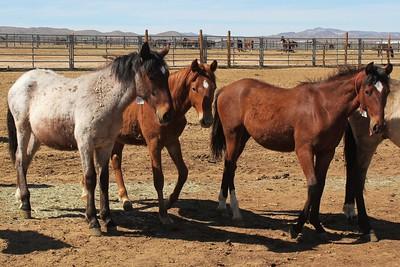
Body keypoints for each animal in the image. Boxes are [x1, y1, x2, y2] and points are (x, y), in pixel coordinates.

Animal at [7, 42, 173, 237]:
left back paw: (21, 199)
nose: (167, 114)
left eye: (167, 75)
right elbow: (90, 178)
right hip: (23, 129)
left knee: (24, 161)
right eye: (151, 75)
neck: (102, 97)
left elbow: (104, 180)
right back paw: (26, 205)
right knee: (19, 160)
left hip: (36, 137)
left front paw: (108, 220)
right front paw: (93, 220)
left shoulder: (106, 145)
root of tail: (20, 81)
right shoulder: (85, 144)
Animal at [81, 58, 217, 224]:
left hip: (117, 139)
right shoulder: (154, 144)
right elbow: (159, 179)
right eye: (194, 88)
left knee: (115, 161)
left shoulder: (172, 142)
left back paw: (124, 198)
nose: (207, 120)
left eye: (214, 87)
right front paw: (163, 214)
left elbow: (183, 172)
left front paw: (169, 201)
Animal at [211, 62, 392, 241]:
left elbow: (320, 186)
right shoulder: (304, 150)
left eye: (387, 92)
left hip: (243, 137)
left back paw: (224, 206)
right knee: (230, 164)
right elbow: (313, 184)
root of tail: (225, 89)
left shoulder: (326, 152)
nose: (378, 126)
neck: (323, 107)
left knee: (230, 165)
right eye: (368, 91)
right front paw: (296, 227)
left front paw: (317, 225)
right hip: (233, 135)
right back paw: (233, 210)